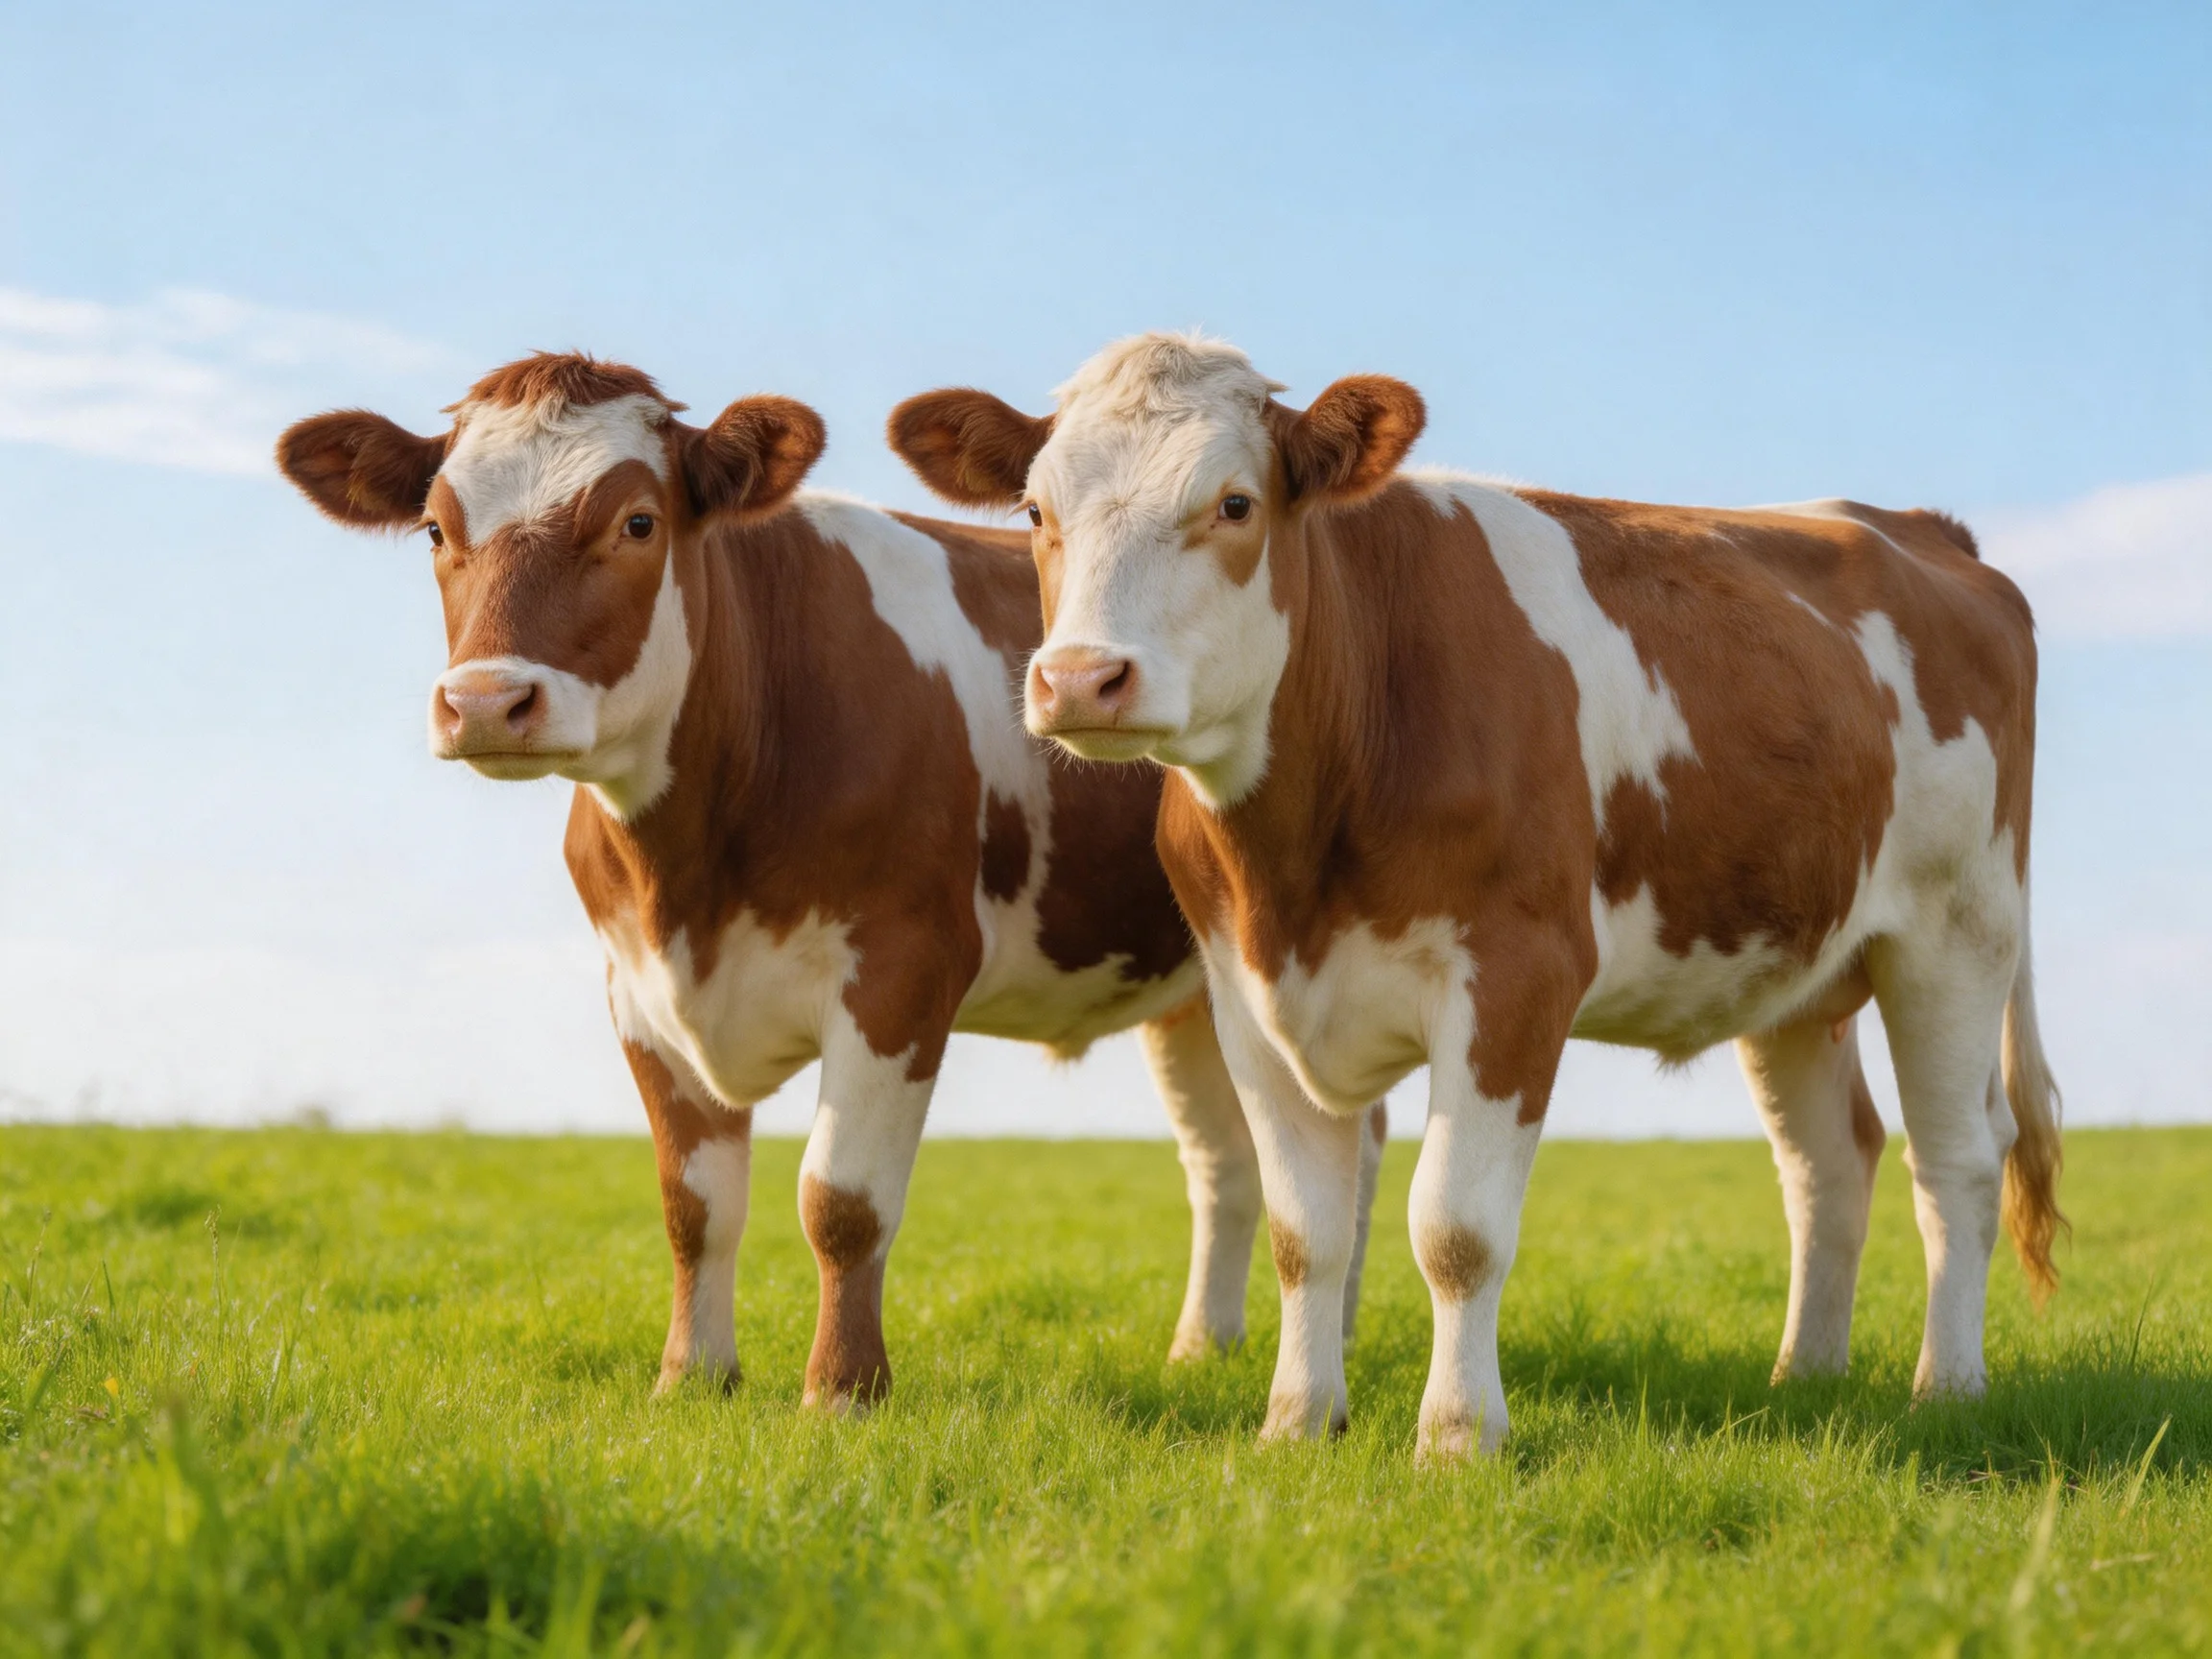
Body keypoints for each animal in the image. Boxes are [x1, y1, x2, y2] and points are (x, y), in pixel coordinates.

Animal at [275, 352, 1388, 1409]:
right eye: (434, 527)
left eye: (638, 521)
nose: (487, 701)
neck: (693, 865)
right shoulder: (636, 992)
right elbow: (694, 1207)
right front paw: (692, 1377)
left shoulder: (899, 974)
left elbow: (841, 1203)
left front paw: (842, 1391)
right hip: (1199, 987)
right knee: (1233, 1159)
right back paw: (1206, 1348)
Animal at [889, 331, 2064, 1460]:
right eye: (1035, 512)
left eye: (1233, 503)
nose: (1081, 679)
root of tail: (1919, 529)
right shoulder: (1247, 997)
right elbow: (1305, 1233)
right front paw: (1296, 1423)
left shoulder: (1516, 977)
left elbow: (1456, 1230)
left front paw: (1457, 1437)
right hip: (1798, 968)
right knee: (1828, 1163)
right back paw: (1805, 1378)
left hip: (1957, 933)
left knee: (1958, 1157)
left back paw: (1947, 1391)